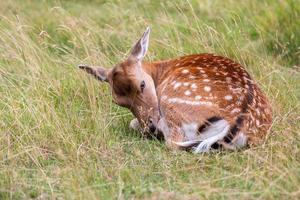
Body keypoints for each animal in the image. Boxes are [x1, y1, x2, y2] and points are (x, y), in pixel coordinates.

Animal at [78, 26, 274, 152]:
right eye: (118, 102)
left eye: (142, 84)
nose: (149, 126)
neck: (158, 71)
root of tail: (237, 124)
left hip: (171, 101)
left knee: (173, 142)